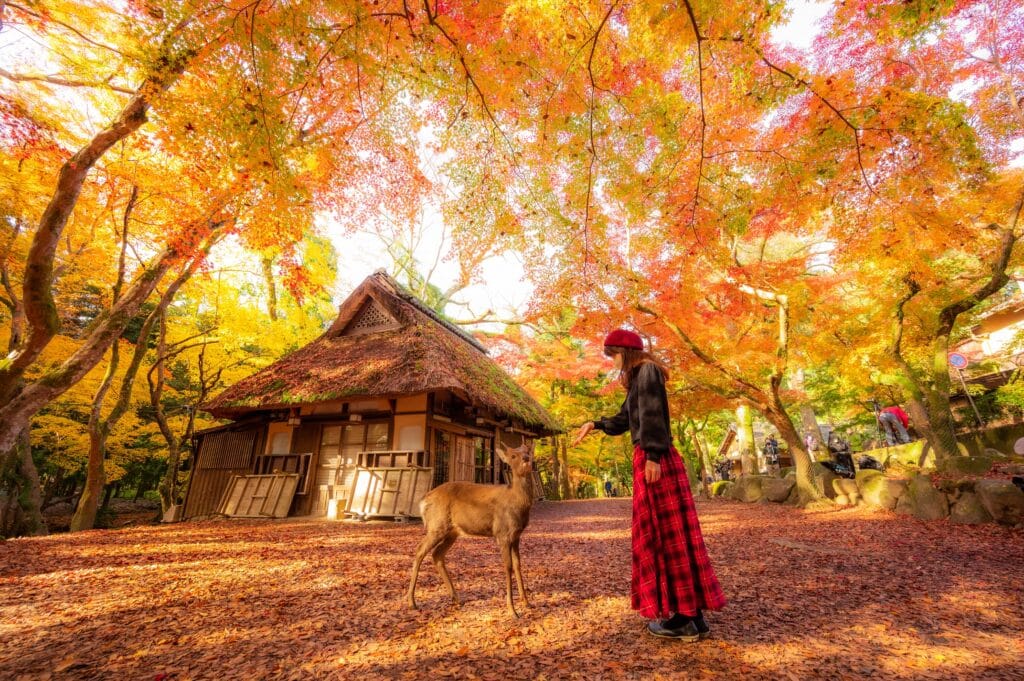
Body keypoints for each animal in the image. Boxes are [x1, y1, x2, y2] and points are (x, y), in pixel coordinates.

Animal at [407, 442, 535, 618]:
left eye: (528, 451)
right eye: (513, 456)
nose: (527, 459)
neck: (517, 503)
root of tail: (423, 501)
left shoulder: (516, 535)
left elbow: (518, 565)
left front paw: (527, 602)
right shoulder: (502, 533)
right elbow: (507, 566)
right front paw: (512, 610)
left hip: (451, 532)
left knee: (437, 554)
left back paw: (456, 598)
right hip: (436, 525)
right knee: (420, 550)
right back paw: (411, 601)